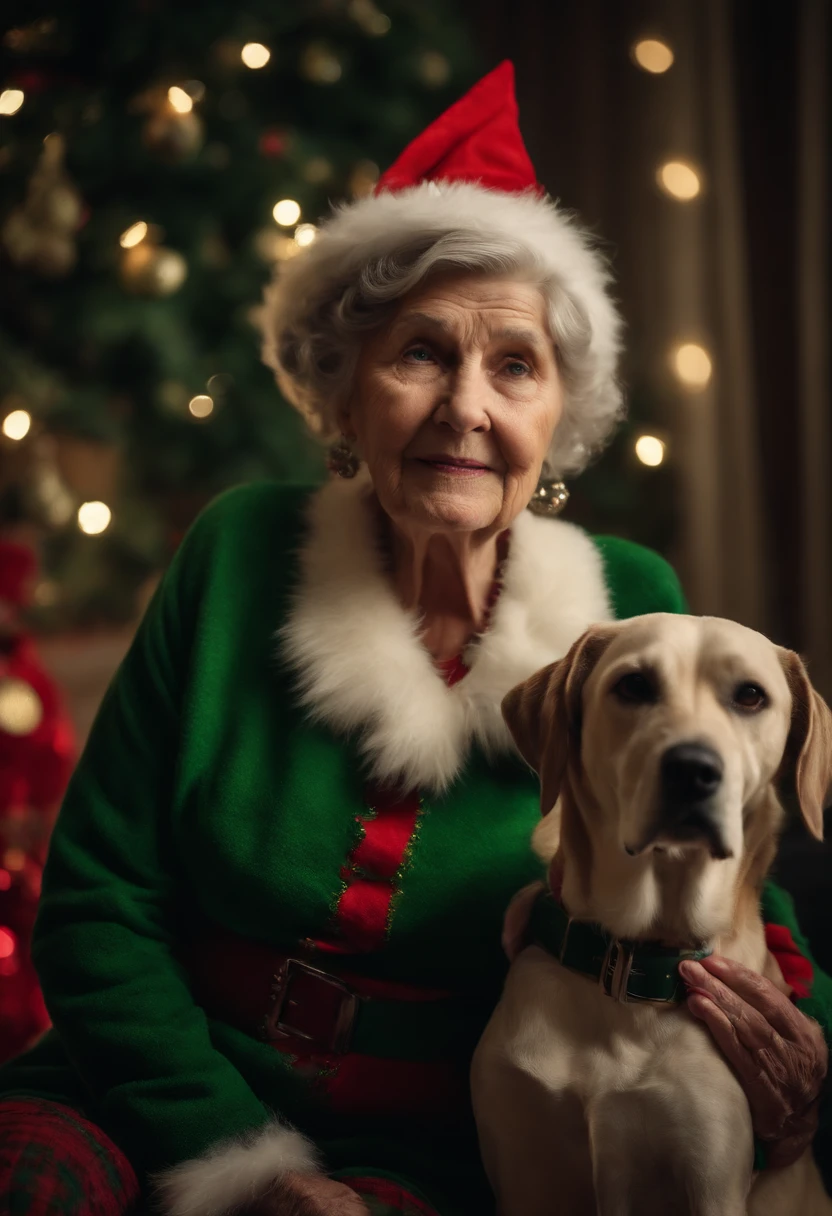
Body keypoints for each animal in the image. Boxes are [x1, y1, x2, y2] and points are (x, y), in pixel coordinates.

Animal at [471, 617, 832, 1216]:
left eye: (751, 696)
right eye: (634, 685)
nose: (694, 769)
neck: (631, 960)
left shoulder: (709, 1174)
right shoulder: (525, 1170)